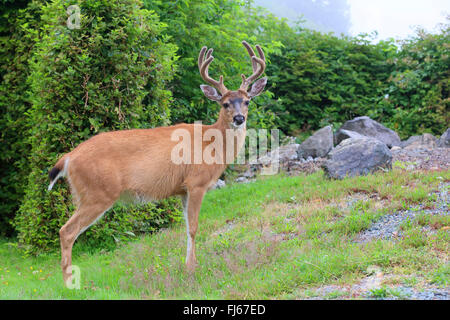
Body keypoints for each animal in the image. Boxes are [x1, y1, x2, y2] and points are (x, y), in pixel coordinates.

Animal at [48, 41, 268, 286]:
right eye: (225, 103)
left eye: (247, 101)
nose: (239, 118)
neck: (211, 144)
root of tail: (69, 158)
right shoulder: (197, 182)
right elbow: (194, 227)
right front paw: (192, 270)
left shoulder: (182, 189)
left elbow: (186, 227)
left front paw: (189, 265)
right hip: (97, 192)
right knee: (66, 231)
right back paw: (70, 283)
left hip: (85, 193)